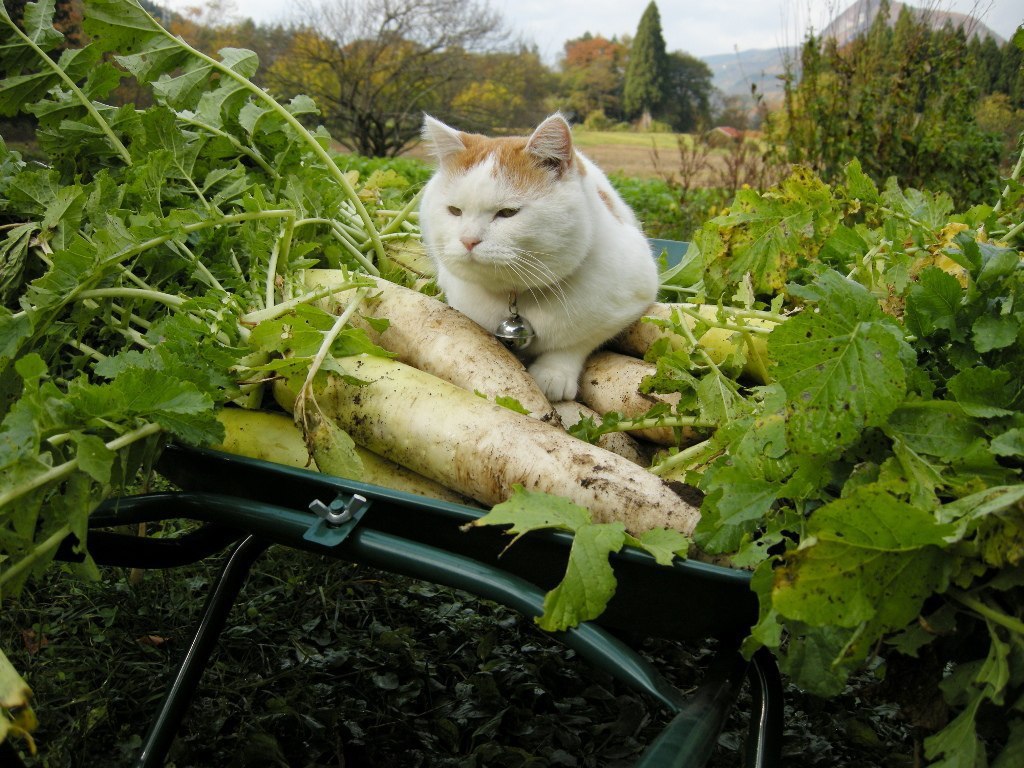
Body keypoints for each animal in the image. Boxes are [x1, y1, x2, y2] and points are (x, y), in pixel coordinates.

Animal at [419, 115, 659, 403]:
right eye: (454, 211)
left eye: (508, 212)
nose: (468, 240)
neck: (516, 298)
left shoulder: (633, 296)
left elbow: (578, 341)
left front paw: (553, 373)